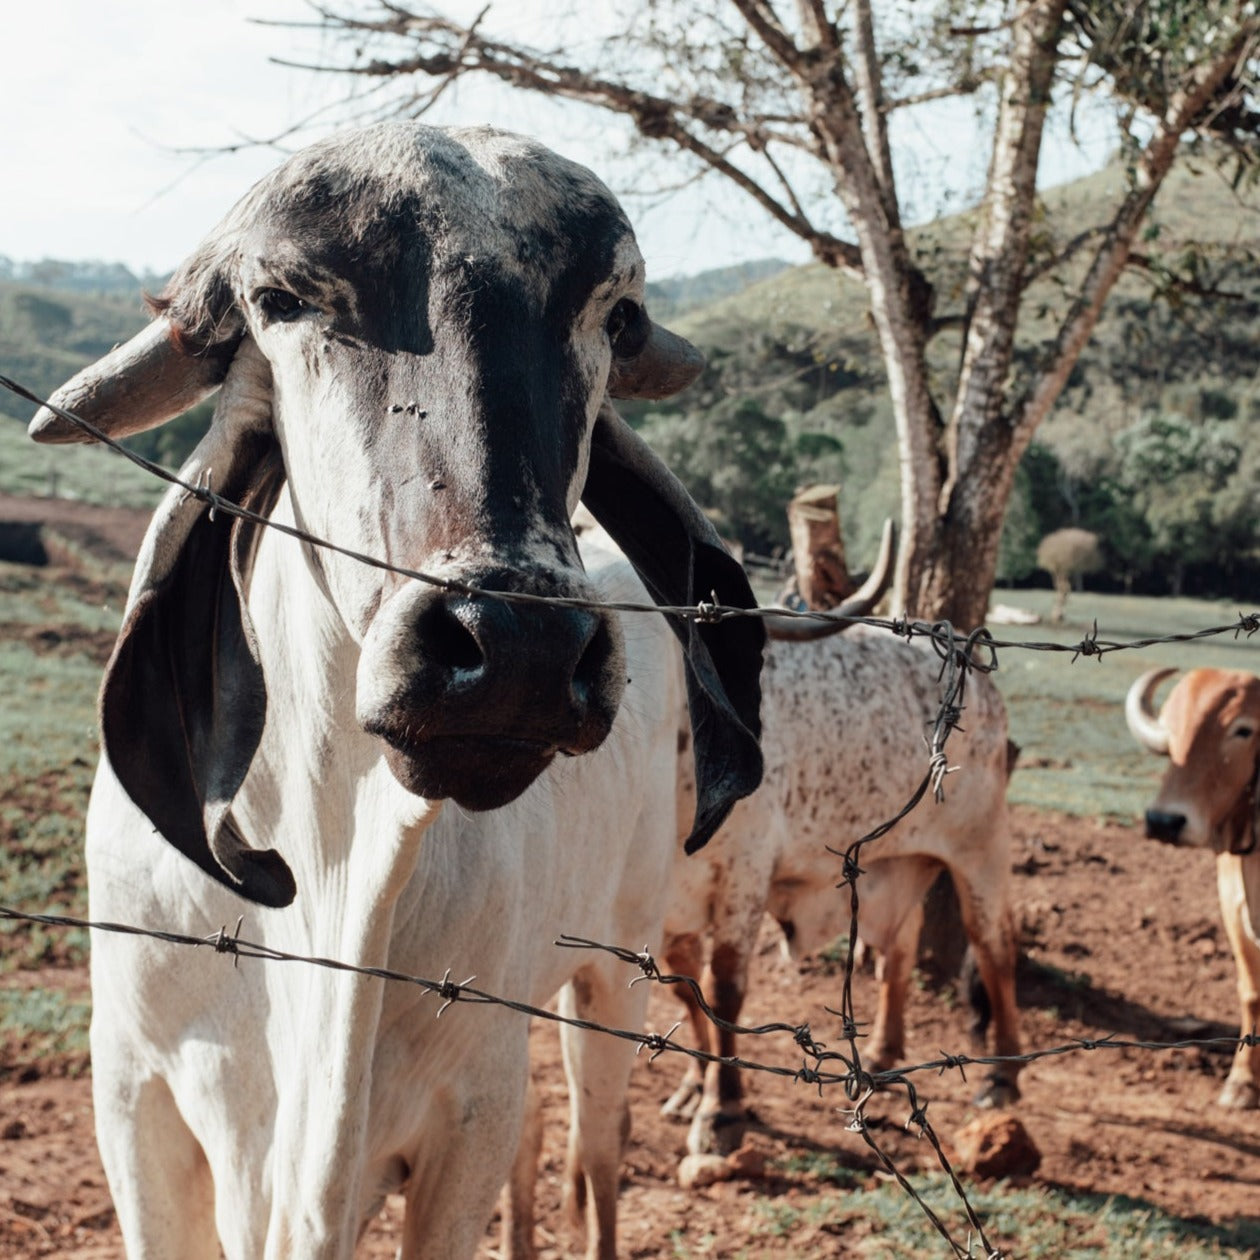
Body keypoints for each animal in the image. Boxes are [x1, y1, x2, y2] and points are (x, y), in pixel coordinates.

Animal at [28, 122, 764, 1259]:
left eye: (617, 313)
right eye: (283, 295)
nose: (517, 647)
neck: (332, 877)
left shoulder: (468, 1115)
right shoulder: (135, 1104)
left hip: (614, 972)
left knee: (596, 1153)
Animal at [1126, 666, 1260, 1109]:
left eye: (1243, 730)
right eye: (1172, 729)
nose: (1164, 821)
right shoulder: (1233, 906)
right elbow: (1251, 993)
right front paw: (1242, 1082)